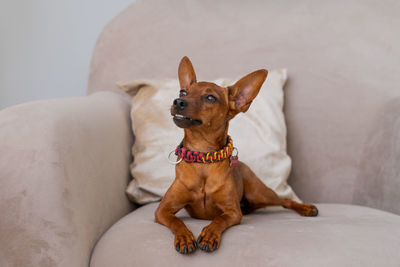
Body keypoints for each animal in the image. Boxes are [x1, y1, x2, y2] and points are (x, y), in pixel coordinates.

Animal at [155, 57, 318, 255]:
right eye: (183, 92)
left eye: (210, 98)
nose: (178, 101)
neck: (203, 157)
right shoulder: (163, 210)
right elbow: (176, 221)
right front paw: (185, 237)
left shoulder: (233, 212)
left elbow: (219, 220)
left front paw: (209, 235)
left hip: (260, 193)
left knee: (284, 200)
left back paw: (306, 208)